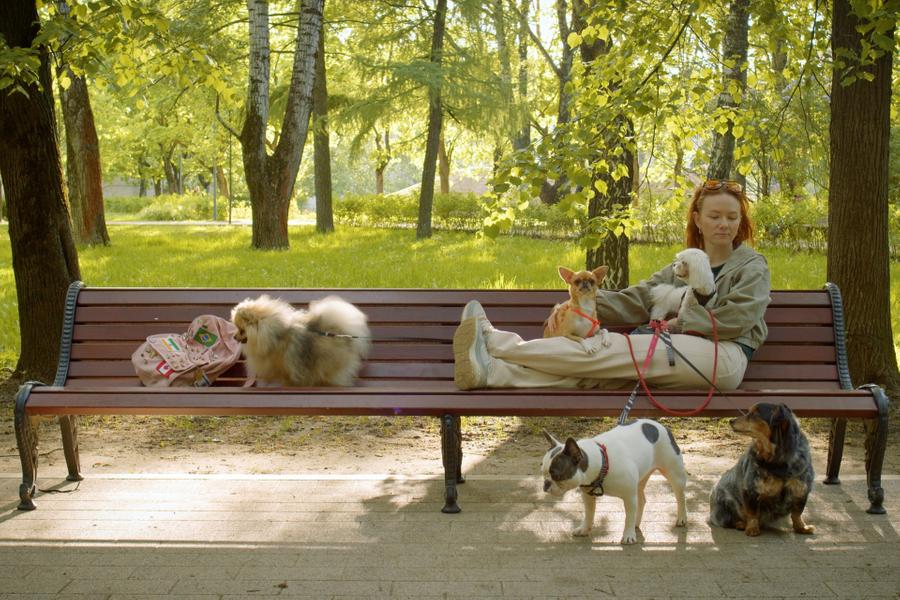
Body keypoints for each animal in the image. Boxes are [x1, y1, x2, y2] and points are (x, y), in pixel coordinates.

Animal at [230, 295, 370, 387]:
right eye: (237, 329)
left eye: (241, 330)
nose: (234, 337)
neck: (273, 335)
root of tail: (341, 332)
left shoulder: (283, 365)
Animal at [541, 419, 688, 544]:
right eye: (542, 472)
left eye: (556, 475)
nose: (545, 484)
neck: (602, 464)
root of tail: (659, 425)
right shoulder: (588, 496)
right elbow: (589, 513)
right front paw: (584, 529)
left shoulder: (629, 496)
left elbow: (628, 516)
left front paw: (628, 535)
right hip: (640, 478)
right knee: (641, 499)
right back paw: (636, 522)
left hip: (674, 474)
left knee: (680, 497)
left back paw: (681, 518)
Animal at [708, 402, 815, 537]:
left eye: (754, 414)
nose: (731, 420)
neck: (778, 460)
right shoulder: (751, 489)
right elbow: (752, 513)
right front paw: (752, 528)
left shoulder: (801, 489)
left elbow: (797, 513)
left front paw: (801, 527)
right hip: (726, 501)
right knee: (730, 520)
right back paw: (741, 524)